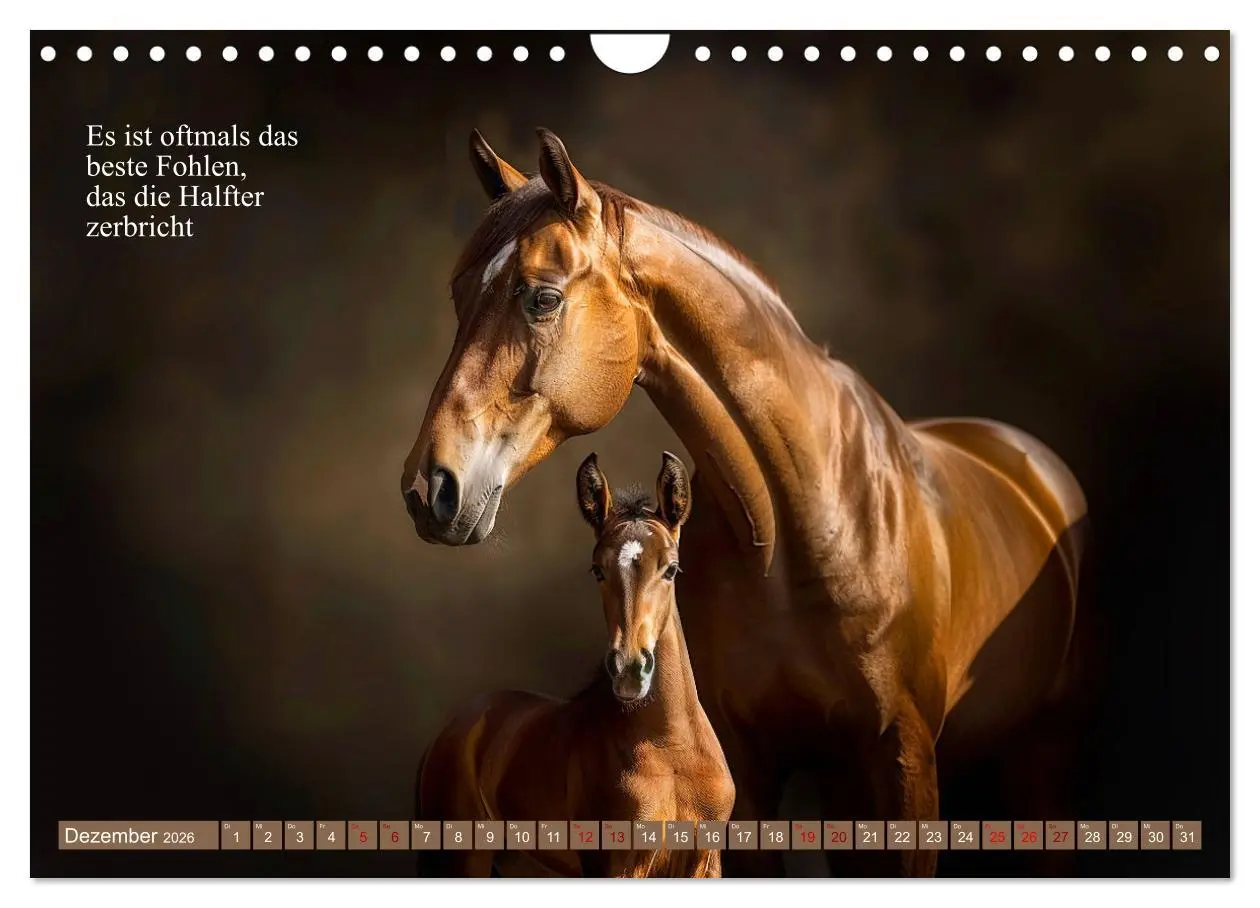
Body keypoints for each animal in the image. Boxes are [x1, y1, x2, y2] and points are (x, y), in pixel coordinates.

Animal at [415, 452, 734, 878]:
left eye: (671, 569)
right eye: (598, 569)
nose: (630, 670)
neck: (671, 751)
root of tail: (450, 729)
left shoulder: (707, 861)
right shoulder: (613, 865)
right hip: (461, 861)